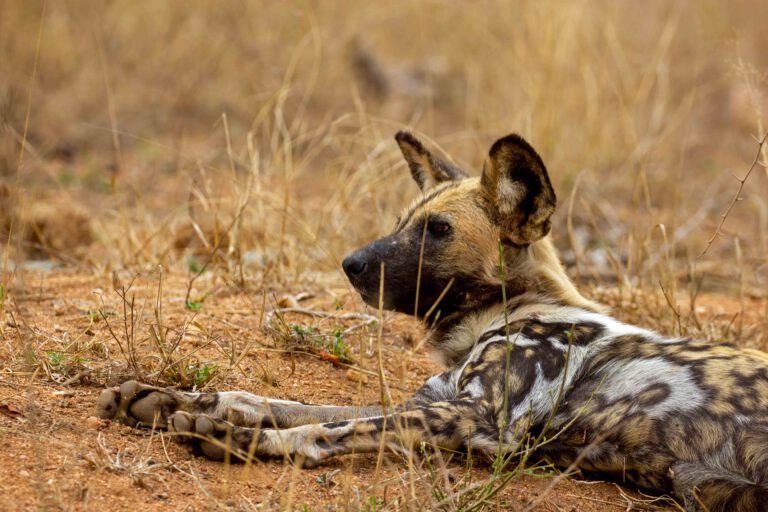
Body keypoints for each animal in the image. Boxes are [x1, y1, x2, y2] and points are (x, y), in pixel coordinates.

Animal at [96, 133, 768, 512]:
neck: (502, 312)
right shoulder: (434, 401)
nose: (350, 264)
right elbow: (282, 403)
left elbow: (325, 431)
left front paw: (235, 439)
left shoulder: (476, 419)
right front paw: (172, 400)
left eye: (438, 231)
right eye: (403, 221)